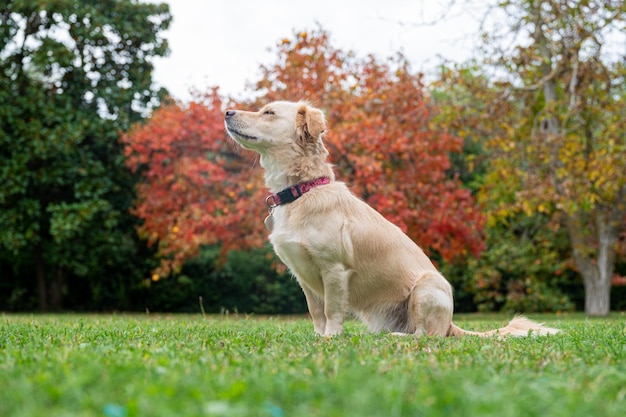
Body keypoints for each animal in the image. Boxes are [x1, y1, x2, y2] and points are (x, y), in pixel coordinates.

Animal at [223, 101, 556, 338]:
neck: (302, 190)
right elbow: (316, 311)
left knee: (427, 336)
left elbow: (331, 309)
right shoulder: (304, 276)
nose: (226, 111)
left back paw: (399, 337)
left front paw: (331, 338)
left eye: (268, 112)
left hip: (425, 288)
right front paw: (318, 337)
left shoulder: (334, 270)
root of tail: (451, 324)